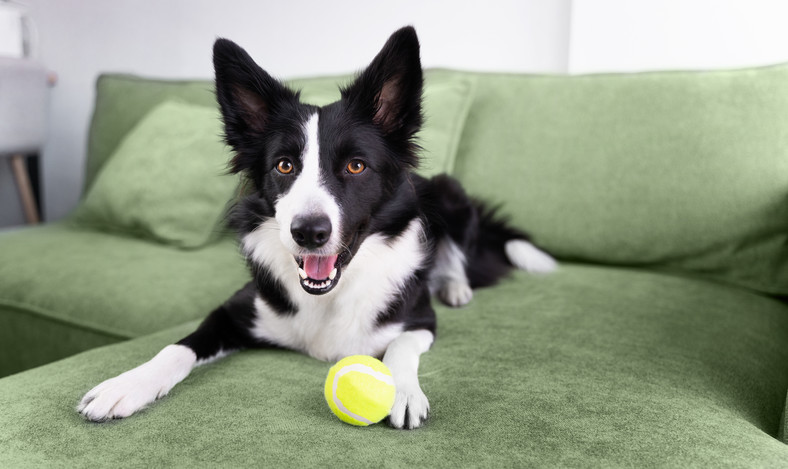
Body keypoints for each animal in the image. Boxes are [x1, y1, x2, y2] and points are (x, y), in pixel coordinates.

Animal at [75, 25, 556, 428]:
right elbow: (178, 346)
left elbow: (399, 348)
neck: (328, 298)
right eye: (284, 165)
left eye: (356, 165)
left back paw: (456, 287)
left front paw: (402, 390)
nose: (309, 233)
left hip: (448, 192)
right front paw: (127, 384)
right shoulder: (234, 310)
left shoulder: (420, 320)